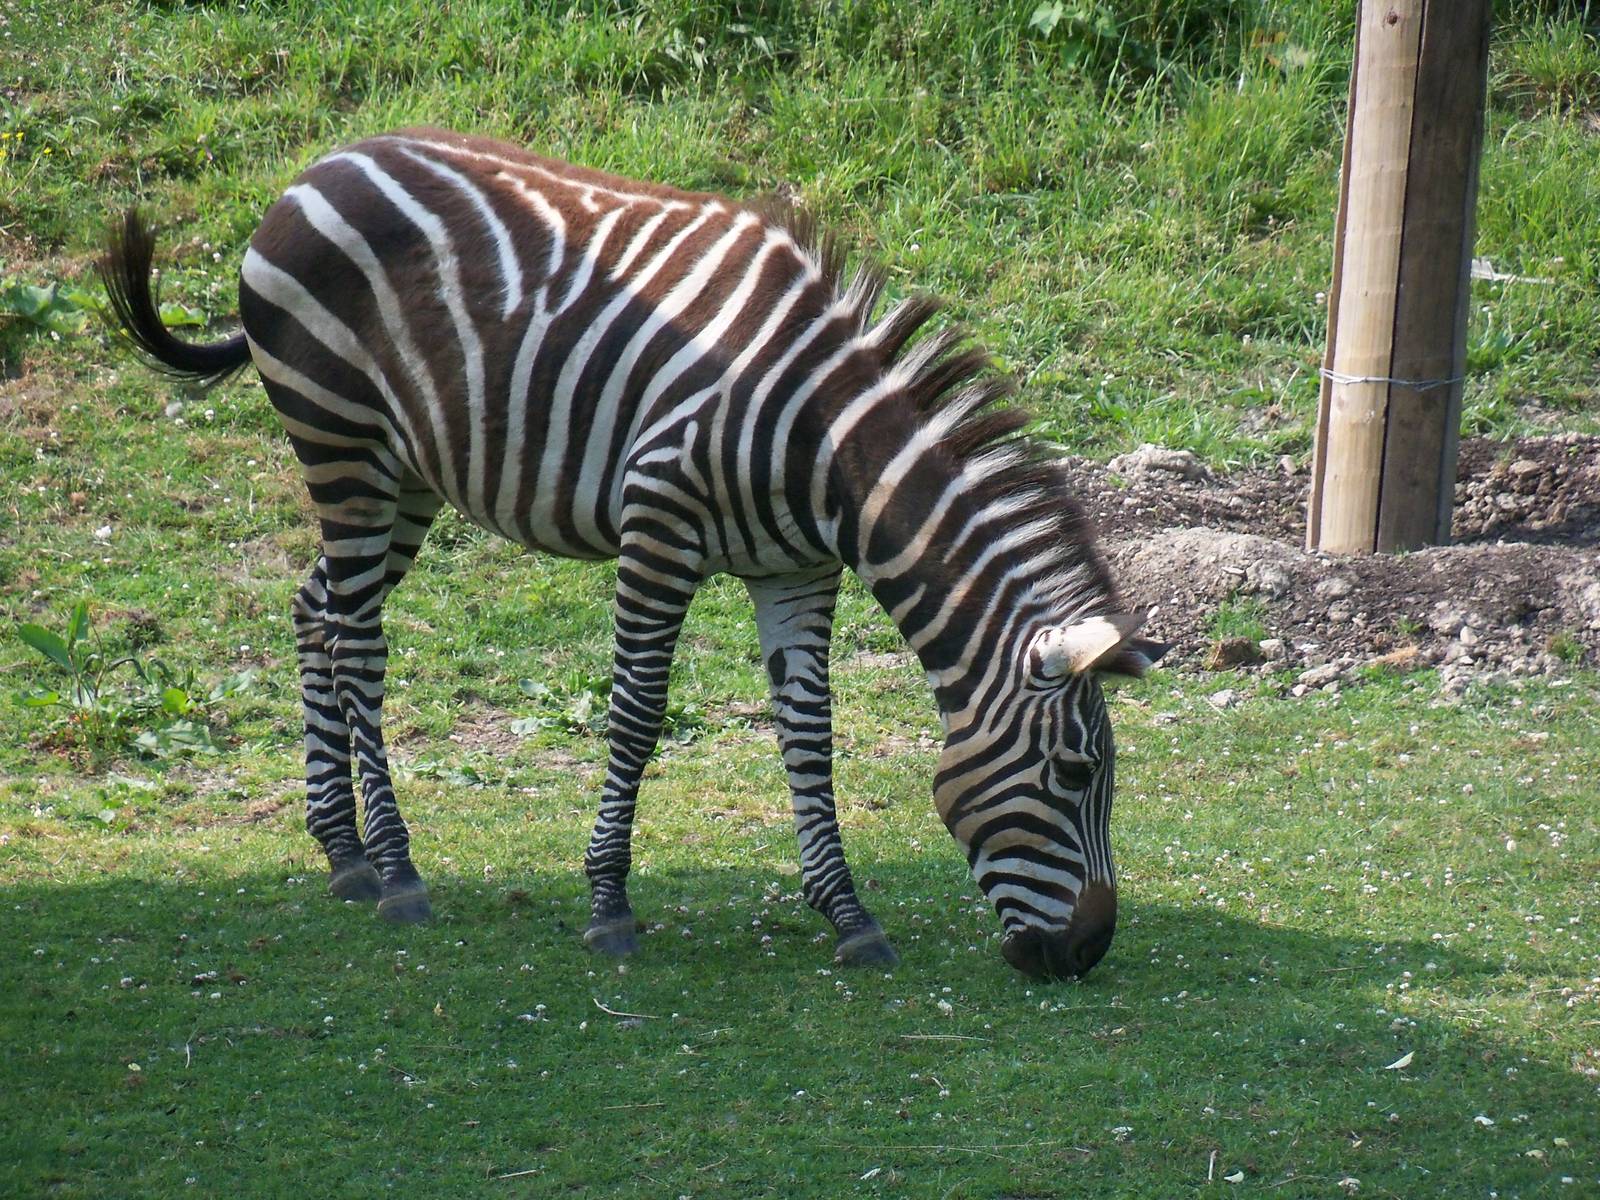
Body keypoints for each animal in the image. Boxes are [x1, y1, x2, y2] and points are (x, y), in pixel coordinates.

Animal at [100, 127, 1165, 980]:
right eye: (1075, 776)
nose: (1086, 953)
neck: (825, 450)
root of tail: (313, 169)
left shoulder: (795, 570)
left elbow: (809, 733)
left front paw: (847, 915)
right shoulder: (661, 523)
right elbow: (639, 715)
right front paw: (608, 903)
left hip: (403, 474)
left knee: (316, 607)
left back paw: (343, 853)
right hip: (342, 441)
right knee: (358, 642)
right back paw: (398, 869)